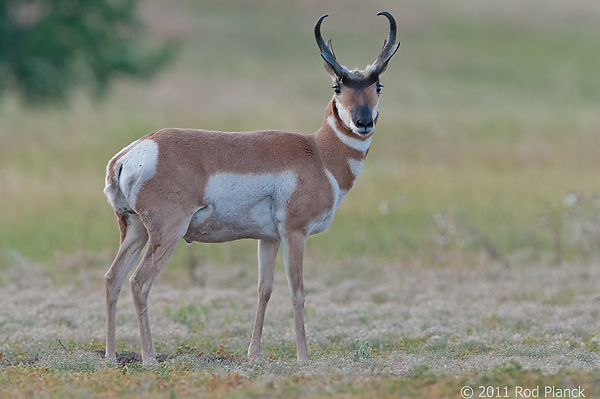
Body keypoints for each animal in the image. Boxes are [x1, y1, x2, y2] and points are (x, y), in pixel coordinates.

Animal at [104, 11, 398, 366]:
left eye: (377, 85)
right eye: (337, 86)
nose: (363, 122)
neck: (319, 153)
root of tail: (131, 153)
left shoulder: (268, 239)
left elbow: (264, 290)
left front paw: (254, 354)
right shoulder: (294, 233)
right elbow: (297, 292)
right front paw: (303, 357)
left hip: (134, 230)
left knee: (113, 278)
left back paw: (110, 356)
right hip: (167, 233)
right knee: (139, 282)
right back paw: (149, 358)